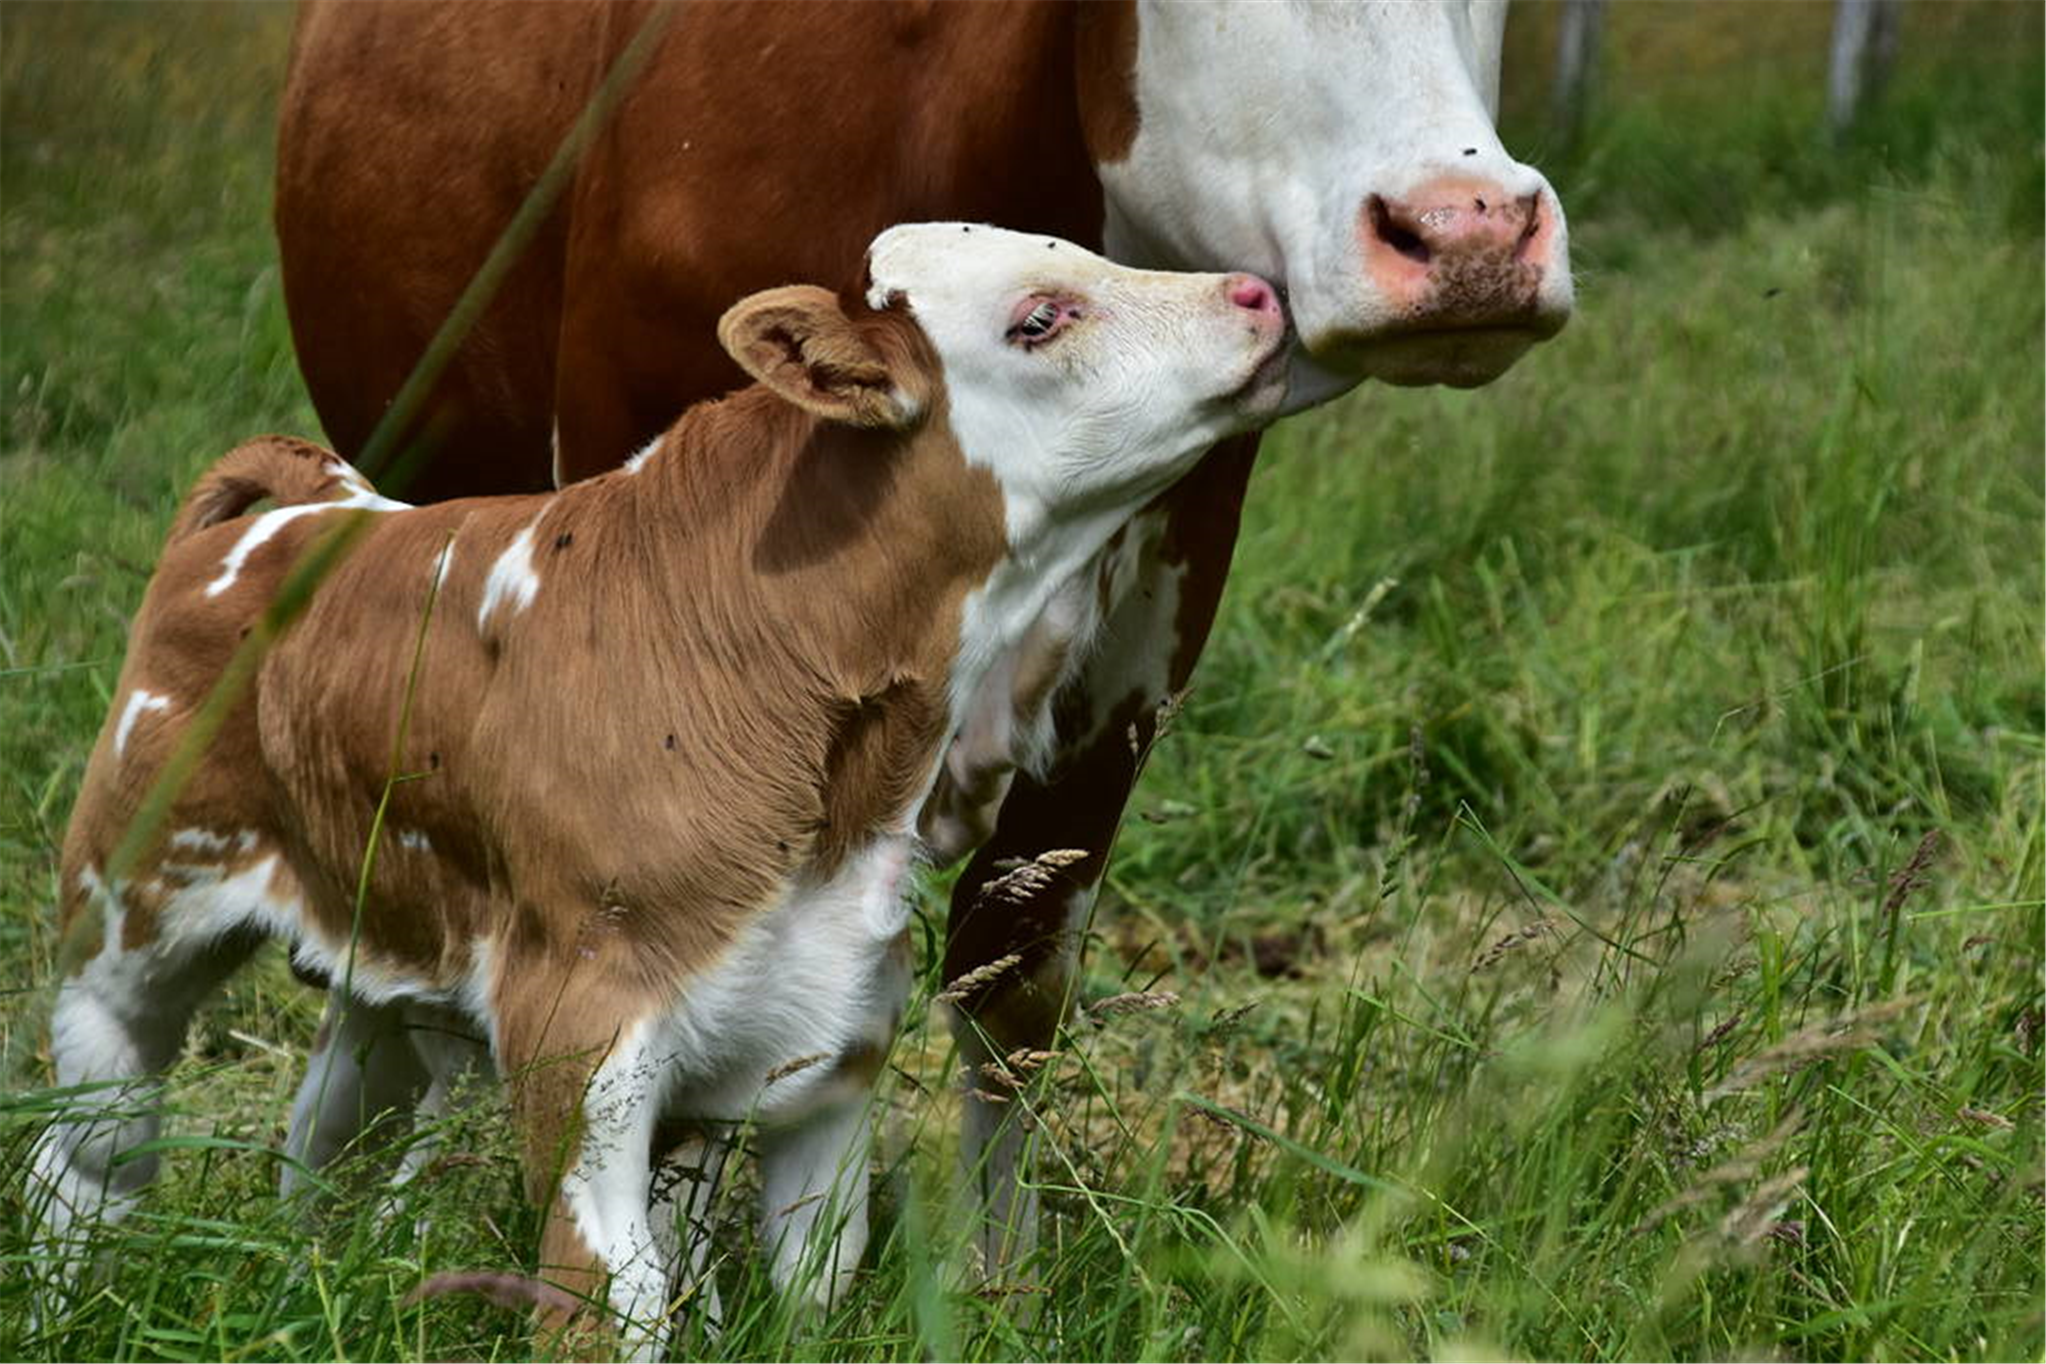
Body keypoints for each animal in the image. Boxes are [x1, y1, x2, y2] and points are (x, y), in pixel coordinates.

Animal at [31, 223, 1284, 1357]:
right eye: (1040, 316)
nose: (1260, 292)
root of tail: (311, 516)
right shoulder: (578, 1041)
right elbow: (612, 1302)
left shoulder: (835, 1045)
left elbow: (812, 1286)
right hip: (126, 919)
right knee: (92, 1144)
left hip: (382, 954)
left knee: (331, 1138)